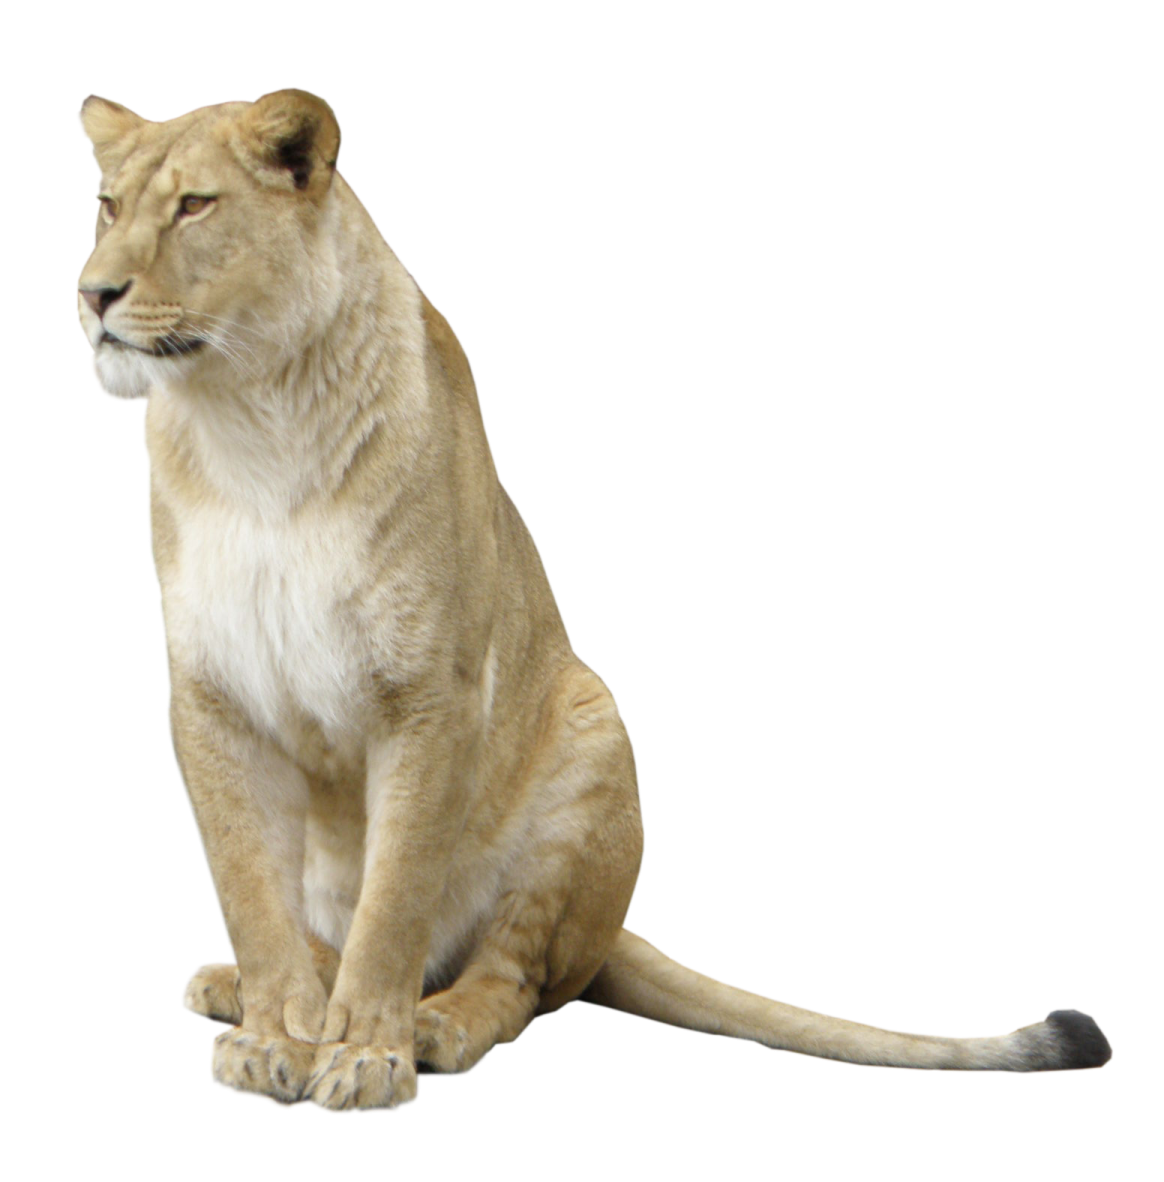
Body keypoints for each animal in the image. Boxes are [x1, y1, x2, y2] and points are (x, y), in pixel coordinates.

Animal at [74, 88, 1112, 1113]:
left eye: (195, 206)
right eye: (110, 208)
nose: (94, 294)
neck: (251, 421)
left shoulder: (432, 690)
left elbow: (397, 897)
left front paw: (365, 1054)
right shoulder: (212, 697)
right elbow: (251, 891)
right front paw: (274, 1037)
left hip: (591, 733)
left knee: (516, 979)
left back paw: (434, 1025)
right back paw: (242, 986)